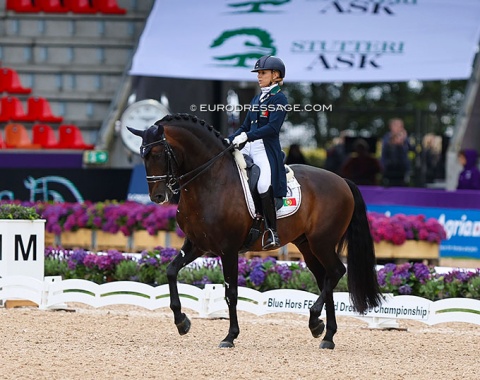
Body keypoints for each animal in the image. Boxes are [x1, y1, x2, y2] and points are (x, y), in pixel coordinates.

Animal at [128, 113, 382, 350]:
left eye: (158, 154)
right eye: (143, 156)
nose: (158, 196)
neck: (210, 181)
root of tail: (342, 181)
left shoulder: (228, 250)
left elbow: (231, 293)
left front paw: (230, 336)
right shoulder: (197, 244)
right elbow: (171, 271)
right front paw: (182, 322)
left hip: (323, 242)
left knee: (336, 272)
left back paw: (315, 322)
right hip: (307, 246)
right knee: (325, 279)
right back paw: (326, 334)